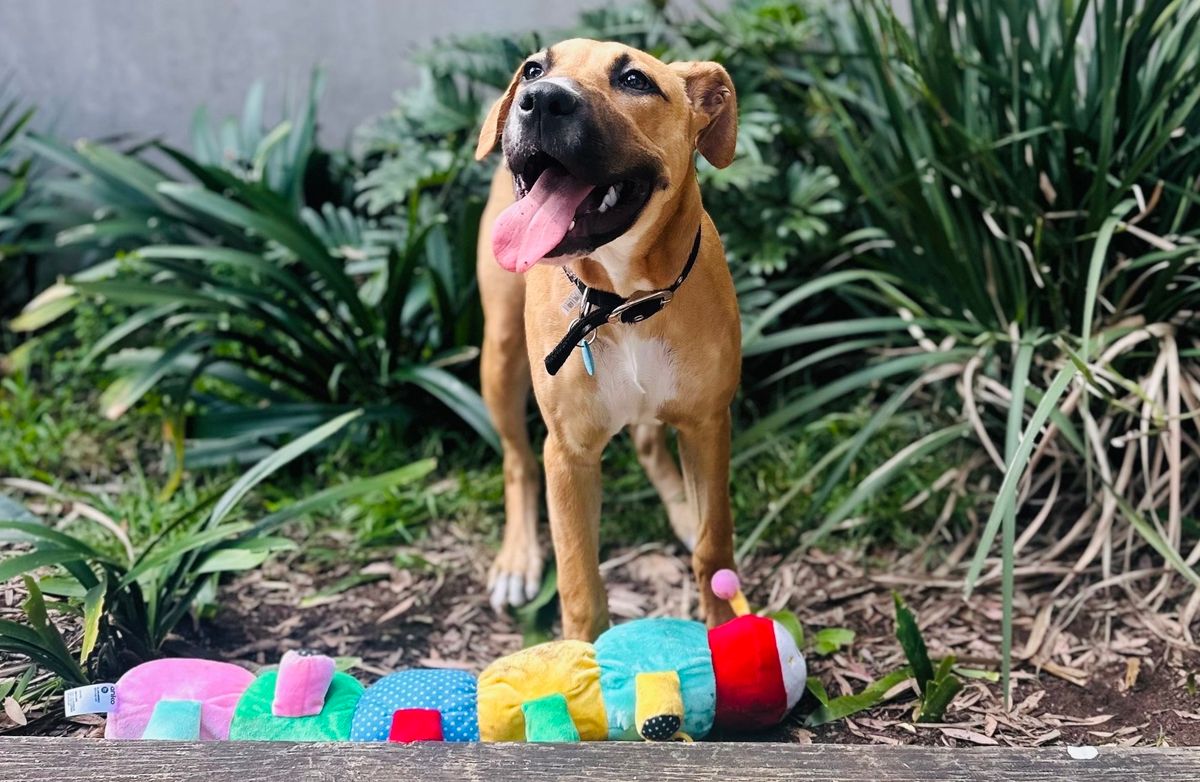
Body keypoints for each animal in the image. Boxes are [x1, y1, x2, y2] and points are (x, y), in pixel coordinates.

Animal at [470, 39, 734, 642]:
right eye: (533, 69)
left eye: (635, 80)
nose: (541, 99)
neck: (621, 302)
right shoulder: (568, 455)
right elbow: (580, 585)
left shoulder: (709, 425)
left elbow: (714, 547)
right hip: (499, 357)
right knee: (516, 460)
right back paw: (517, 560)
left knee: (648, 442)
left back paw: (681, 510)